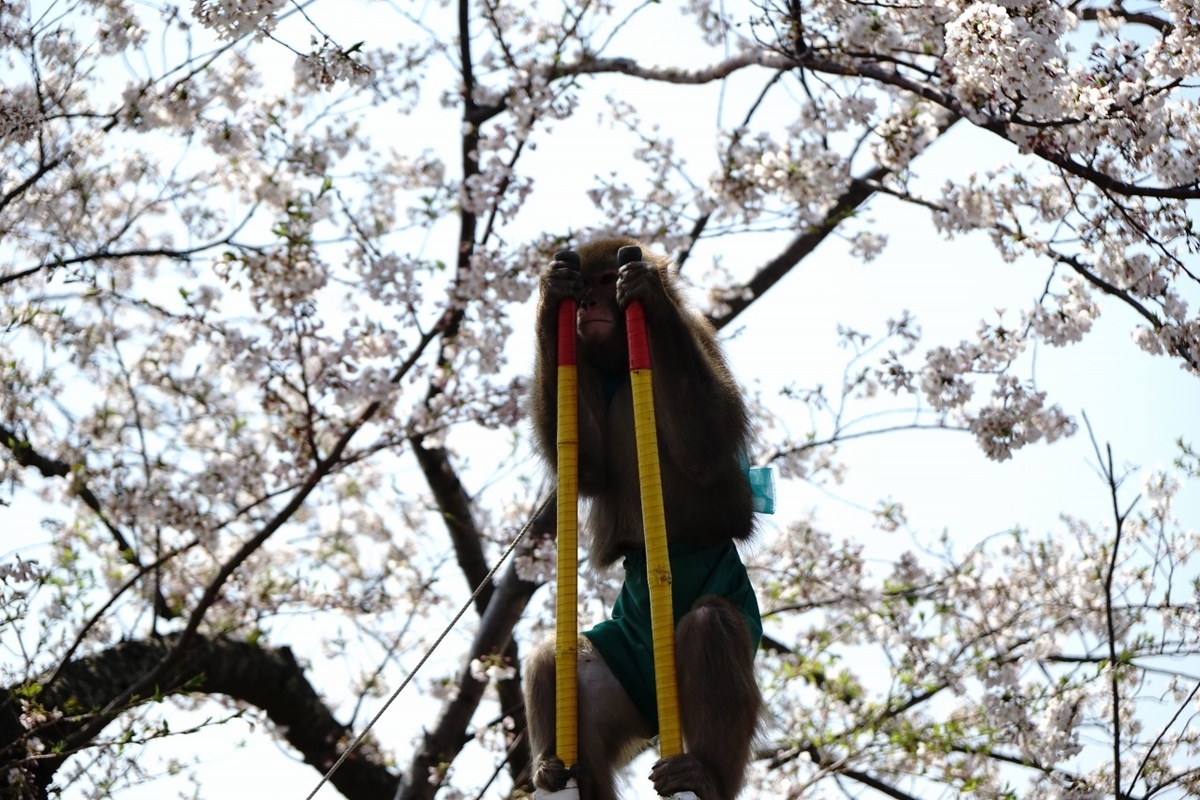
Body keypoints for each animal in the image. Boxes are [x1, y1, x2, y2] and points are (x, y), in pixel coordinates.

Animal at [524, 237, 762, 800]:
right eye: (585, 289)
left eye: (603, 282)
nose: (588, 304)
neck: (617, 365)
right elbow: (585, 465)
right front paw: (552, 292)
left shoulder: (696, 337)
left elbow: (707, 446)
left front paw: (646, 290)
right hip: (628, 672)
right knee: (553, 660)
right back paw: (556, 771)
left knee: (711, 626)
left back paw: (704, 775)